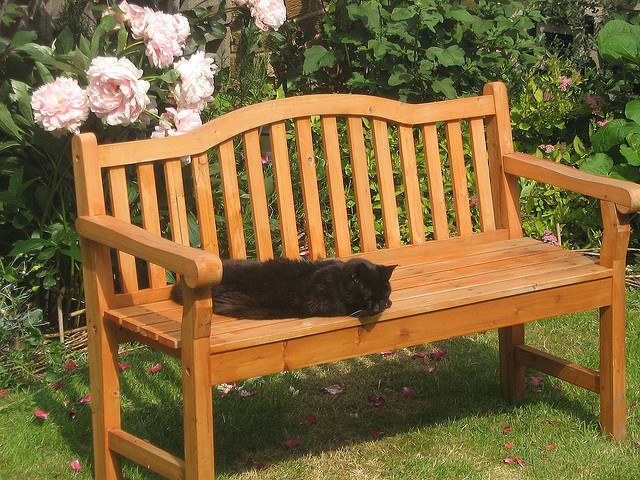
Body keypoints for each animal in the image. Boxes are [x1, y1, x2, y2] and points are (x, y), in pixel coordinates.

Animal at [171, 257, 396, 319]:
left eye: (384, 293)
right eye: (367, 295)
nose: (378, 307)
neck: (337, 277)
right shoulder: (319, 302)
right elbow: (346, 308)